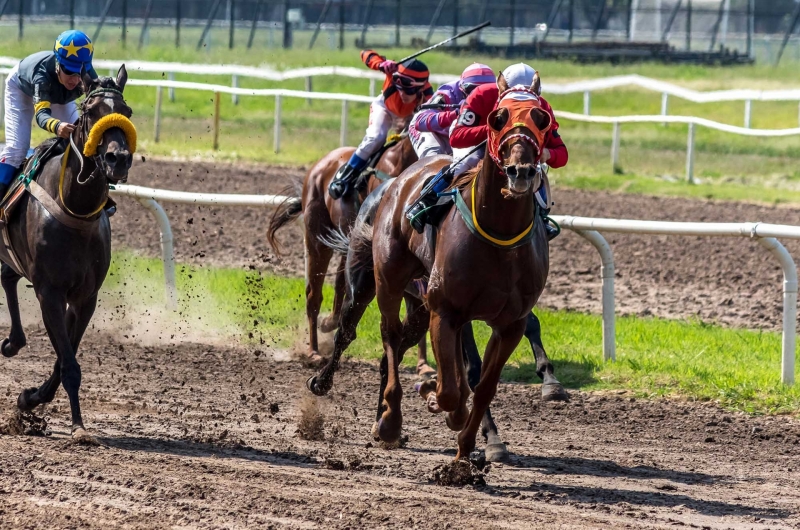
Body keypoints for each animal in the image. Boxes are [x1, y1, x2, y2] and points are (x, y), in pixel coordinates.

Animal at [0, 68, 133, 444]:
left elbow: (64, 361)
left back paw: (13, 342)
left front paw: (29, 399)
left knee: (7, 278)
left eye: (127, 111)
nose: (118, 159)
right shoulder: (50, 293)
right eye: (89, 111)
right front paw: (78, 427)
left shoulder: (85, 297)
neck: (75, 210)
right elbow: (69, 364)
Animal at [346, 78, 552, 458]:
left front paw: (470, 449)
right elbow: (450, 389)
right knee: (388, 335)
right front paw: (434, 400)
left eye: (543, 120)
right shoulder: (446, 310)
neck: (499, 237)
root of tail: (400, 178)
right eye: (497, 118)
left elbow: (482, 386)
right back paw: (388, 420)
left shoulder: (508, 324)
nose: (521, 172)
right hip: (387, 278)